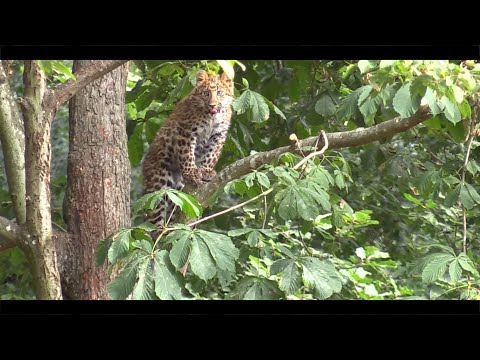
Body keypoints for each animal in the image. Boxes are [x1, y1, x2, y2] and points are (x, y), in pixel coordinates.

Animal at [141, 69, 234, 229]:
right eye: (206, 93)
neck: (212, 117)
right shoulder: (186, 131)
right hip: (159, 184)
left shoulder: (218, 135)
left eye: (220, 93)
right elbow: (187, 155)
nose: (212, 105)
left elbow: (212, 155)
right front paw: (192, 173)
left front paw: (206, 171)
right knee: (156, 219)